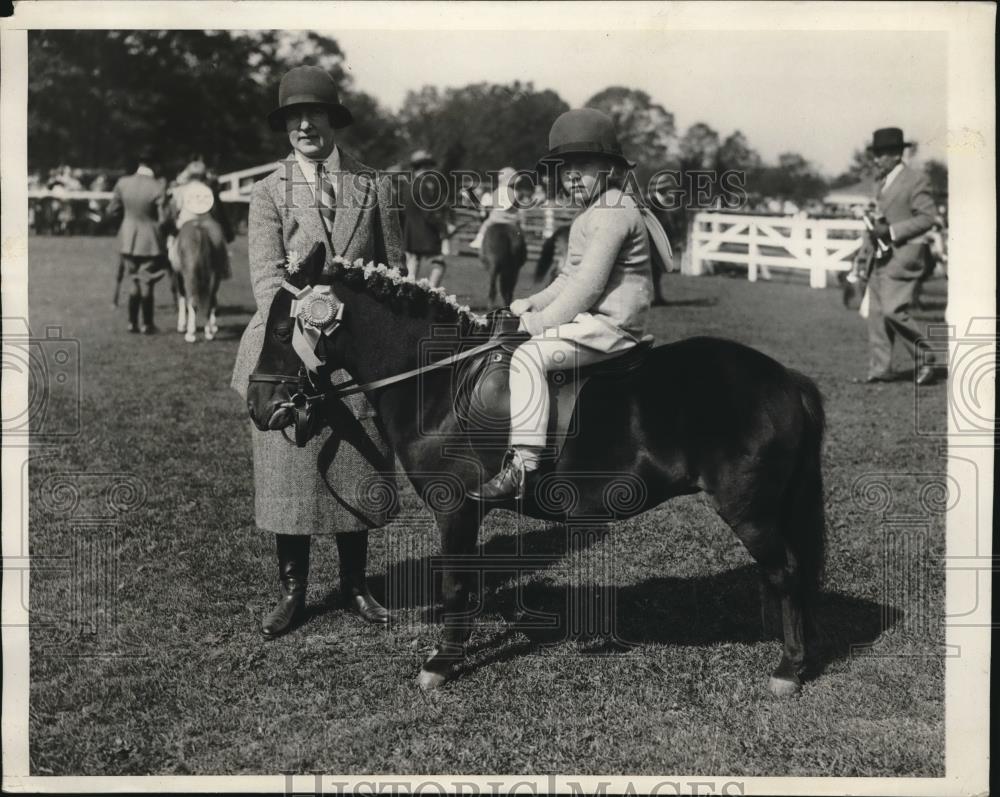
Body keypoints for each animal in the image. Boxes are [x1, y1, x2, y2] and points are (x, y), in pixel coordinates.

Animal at [248, 244, 828, 696]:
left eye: (279, 331)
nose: (259, 407)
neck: (439, 381)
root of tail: (785, 378)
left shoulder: (454, 508)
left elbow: (454, 583)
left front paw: (442, 663)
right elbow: (471, 580)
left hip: (747, 509)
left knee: (786, 570)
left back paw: (788, 668)